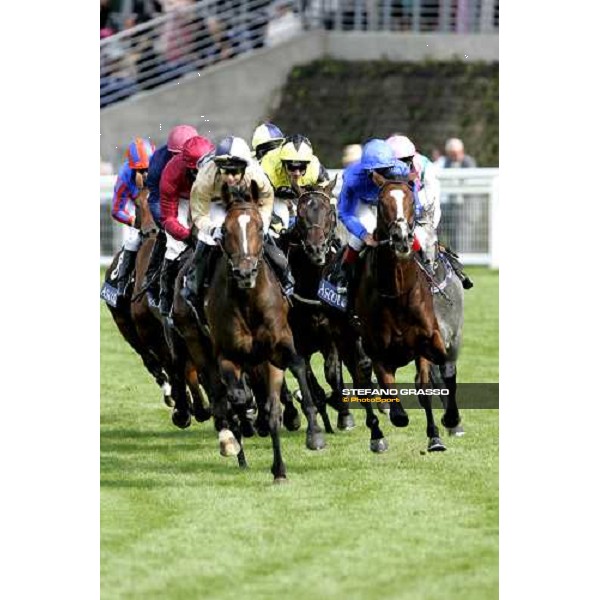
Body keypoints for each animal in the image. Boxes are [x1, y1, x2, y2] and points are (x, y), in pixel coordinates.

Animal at [204, 180, 326, 480]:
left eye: (260, 227)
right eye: (225, 229)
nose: (245, 273)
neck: (248, 301)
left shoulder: (281, 346)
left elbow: (297, 368)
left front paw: (313, 434)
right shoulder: (227, 354)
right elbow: (237, 395)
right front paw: (244, 424)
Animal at [350, 176, 462, 452]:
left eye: (411, 201)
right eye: (381, 203)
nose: (401, 237)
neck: (398, 292)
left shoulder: (429, 338)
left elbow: (433, 380)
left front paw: (439, 432)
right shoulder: (376, 349)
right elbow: (391, 394)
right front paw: (396, 415)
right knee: (361, 379)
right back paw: (376, 436)